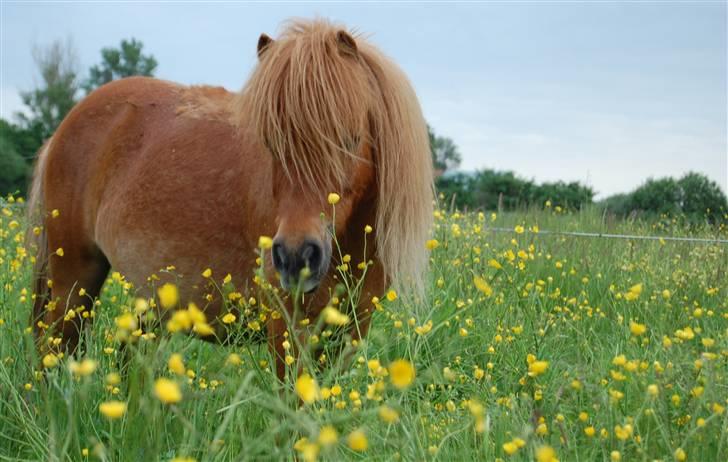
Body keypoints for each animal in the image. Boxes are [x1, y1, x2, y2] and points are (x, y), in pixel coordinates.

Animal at [25, 19, 432, 378]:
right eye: (270, 142)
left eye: (350, 140)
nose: (295, 257)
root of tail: (64, 128)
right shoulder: (288, 326)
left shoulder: (350, 330)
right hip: (74, 281)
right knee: (53, 351)